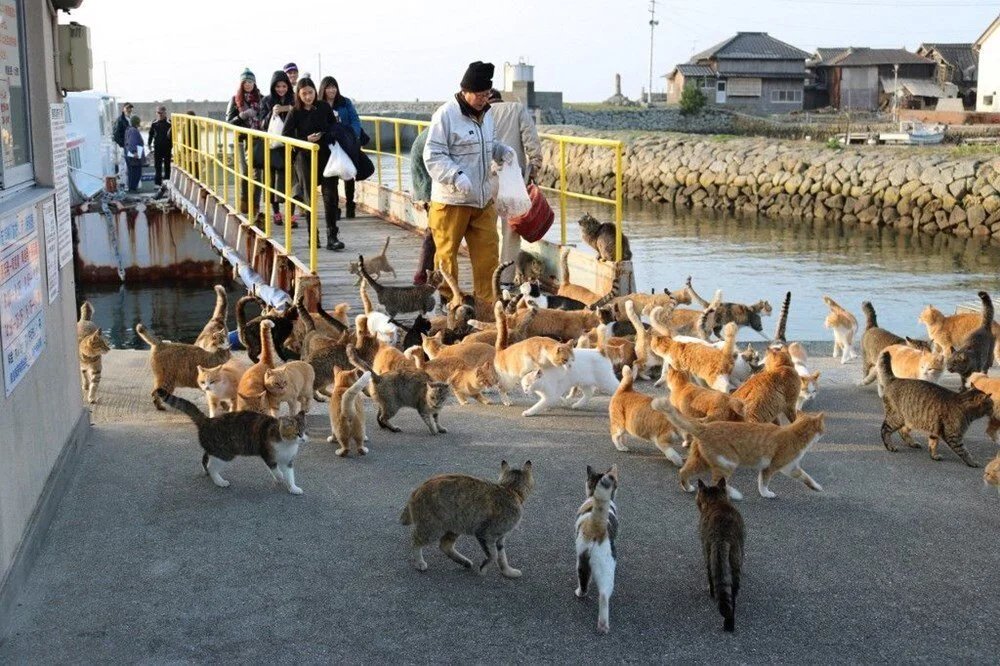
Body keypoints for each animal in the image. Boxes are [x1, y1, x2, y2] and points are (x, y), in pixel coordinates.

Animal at [152, 386, 306, 490]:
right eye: (297, 433)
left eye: (305, 431)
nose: (304, 439)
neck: (287, 444)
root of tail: (208, 420)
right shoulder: (267, 455)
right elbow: (276, 469)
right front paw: (279, 478)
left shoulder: (288, 461)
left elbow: (290, 475)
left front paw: (293, 488)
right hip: (225, 453)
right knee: (212, 466)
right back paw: (220, 481)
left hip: (214, 449)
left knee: (205, 458)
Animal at [400, 460, 536, 572]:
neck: (510, 490)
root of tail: (417, 488)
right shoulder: (486, 533)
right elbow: (494, 555)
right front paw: (483, 568)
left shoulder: (500, 538)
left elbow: (502, 557)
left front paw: (508, 572)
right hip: (433, 528)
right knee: (415, 540)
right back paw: (419, 562)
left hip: (455, 525)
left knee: (444, 545)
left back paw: (464, 562)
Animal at [576, 464, 620, 632]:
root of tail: (598, 528)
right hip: (605, 566)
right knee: (604, 594)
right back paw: (603, 626)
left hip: (582, 558)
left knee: (584, 580)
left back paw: (580, 593)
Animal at [652, 394, 824, 498]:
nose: (824, 433)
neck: (795, 432)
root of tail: (705, 427)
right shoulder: (772, 467)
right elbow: (764, 482)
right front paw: (766, 493)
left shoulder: (792, 467)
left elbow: (806, 477)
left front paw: (816, 487)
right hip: (728, 462)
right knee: (716, 481)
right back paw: (734, 494)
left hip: (701, 461)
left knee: (683, 471)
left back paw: (687, 488)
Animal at [700, 474, 748, 632]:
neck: (717, 502)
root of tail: (722, 536)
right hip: (734, 557)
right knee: (732, 592)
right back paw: (729, 622)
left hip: (712, 553)